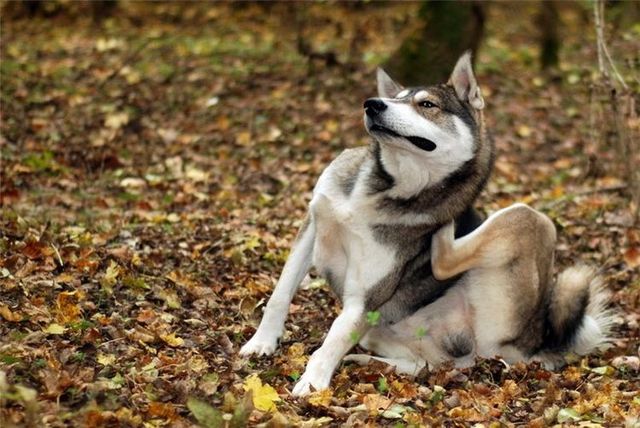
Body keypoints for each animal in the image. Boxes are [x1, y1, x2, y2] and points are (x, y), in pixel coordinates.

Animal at [239, 51, 608, 396]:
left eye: (427, 104)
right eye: (397, 98)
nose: (372, 104)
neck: (383, 188)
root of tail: (534, 340)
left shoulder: (365, 299)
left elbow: (333, 339)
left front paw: (313, 382)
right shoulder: (313, 225)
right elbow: (280, 294)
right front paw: (262, 342)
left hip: (530, 219)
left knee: (447, 261)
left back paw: (445, 230)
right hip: (391, 335)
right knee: (423, 365)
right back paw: (365, 361)